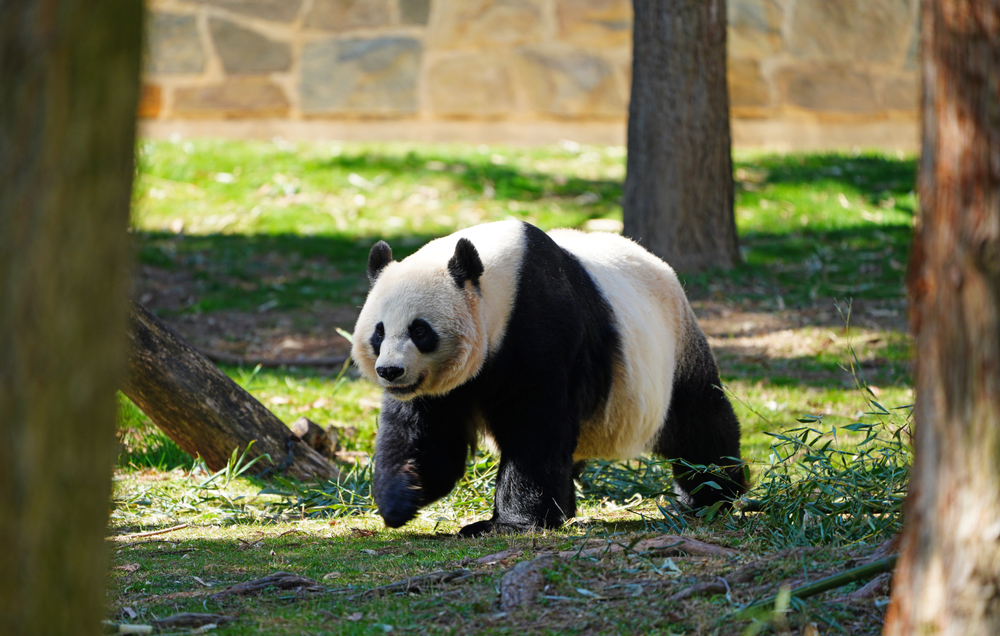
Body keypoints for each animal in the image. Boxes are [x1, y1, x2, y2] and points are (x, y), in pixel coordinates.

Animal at [348, 221, 748, 536]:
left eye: (420, 330)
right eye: (379, 332)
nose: (390, 371)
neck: (496, 283)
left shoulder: (540, 324)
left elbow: (535, 425)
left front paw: (509, 523)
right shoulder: (437, 386)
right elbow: (426, 434)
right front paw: (401, 497)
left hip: (673, 347)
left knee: (698, 421)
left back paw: (711, 495)